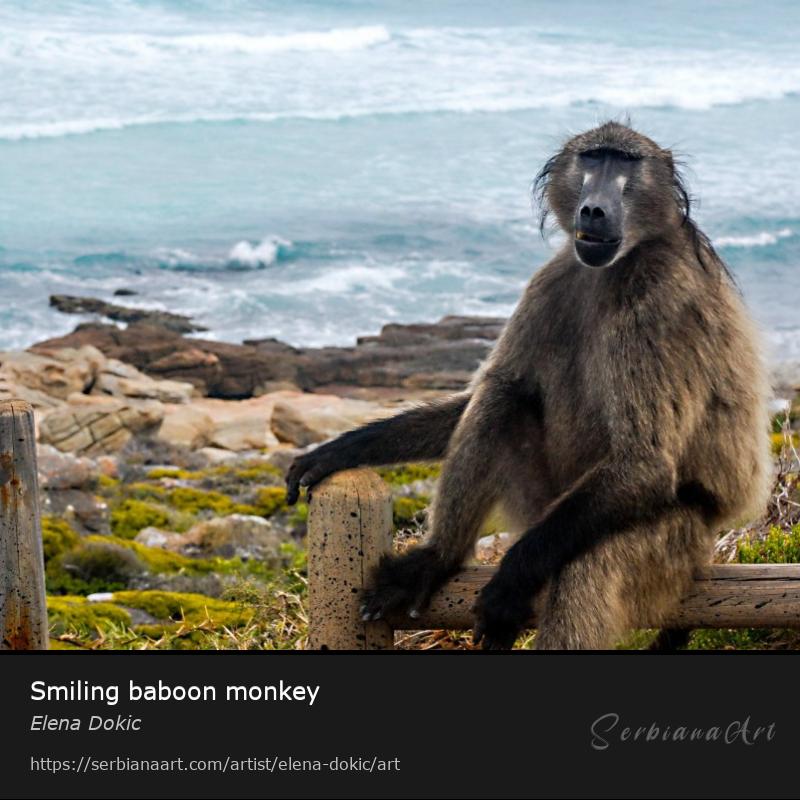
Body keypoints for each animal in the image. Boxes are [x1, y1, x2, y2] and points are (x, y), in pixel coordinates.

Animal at [286, 120, 768, 648]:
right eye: (592, 157)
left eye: (624, 162)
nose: (594, 209)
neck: (622, 262)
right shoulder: (552, 278)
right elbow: (486, 392)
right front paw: (337, 452)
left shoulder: (659, 299)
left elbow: (644, 461)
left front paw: (507, 585)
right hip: (538, 502)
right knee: (502, 396)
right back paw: (436, 559)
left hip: (669, 543)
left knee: (585, 569)